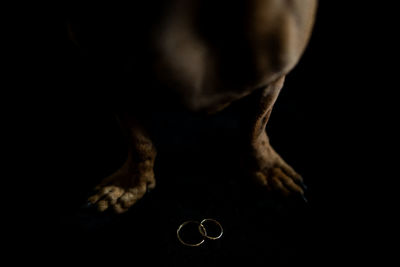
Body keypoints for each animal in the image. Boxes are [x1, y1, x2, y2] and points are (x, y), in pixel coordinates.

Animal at [67, 0, 318, 214]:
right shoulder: (106, 70)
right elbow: (139, 142)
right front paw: (130, 185)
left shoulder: (274, 73)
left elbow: (254, 130)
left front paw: (266, 168)